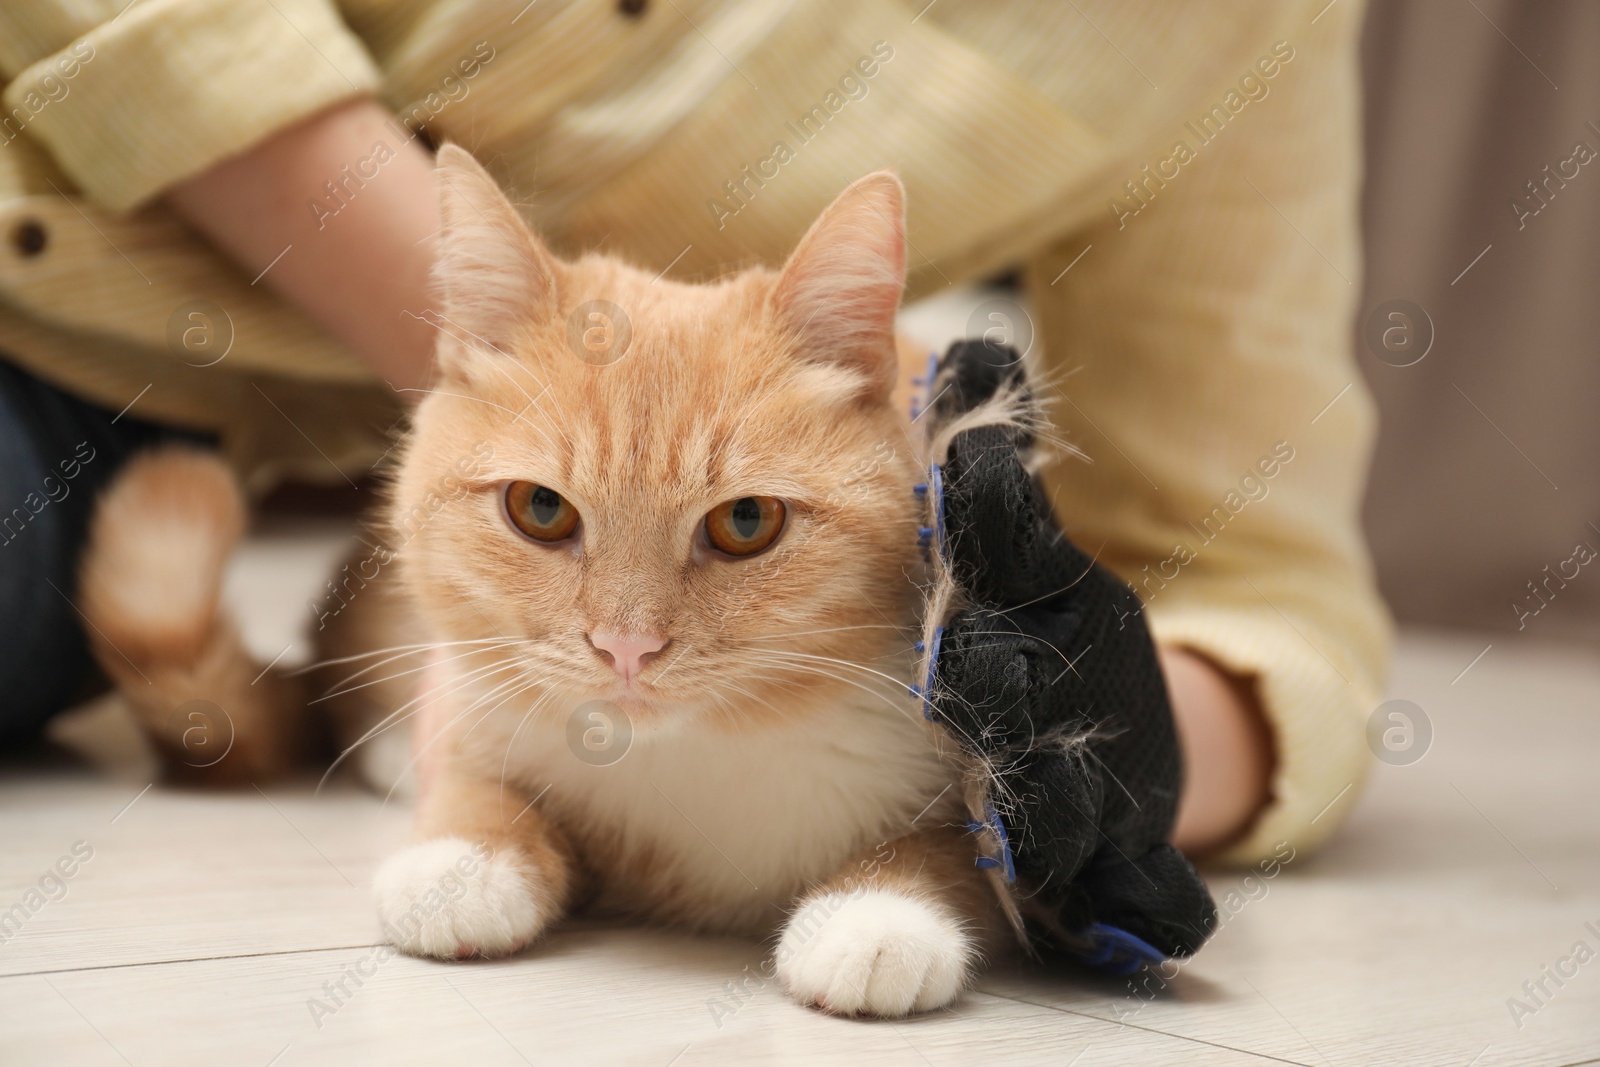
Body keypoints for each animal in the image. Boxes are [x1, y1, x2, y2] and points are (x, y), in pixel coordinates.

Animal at [78, 147, 998, 1017]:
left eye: (747, 522)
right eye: (542, 508)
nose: (627, 646)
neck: (694, 756)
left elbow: (956, 849)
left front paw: (879, 912)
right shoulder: (478, 708)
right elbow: (475, 785)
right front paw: (461, 859)